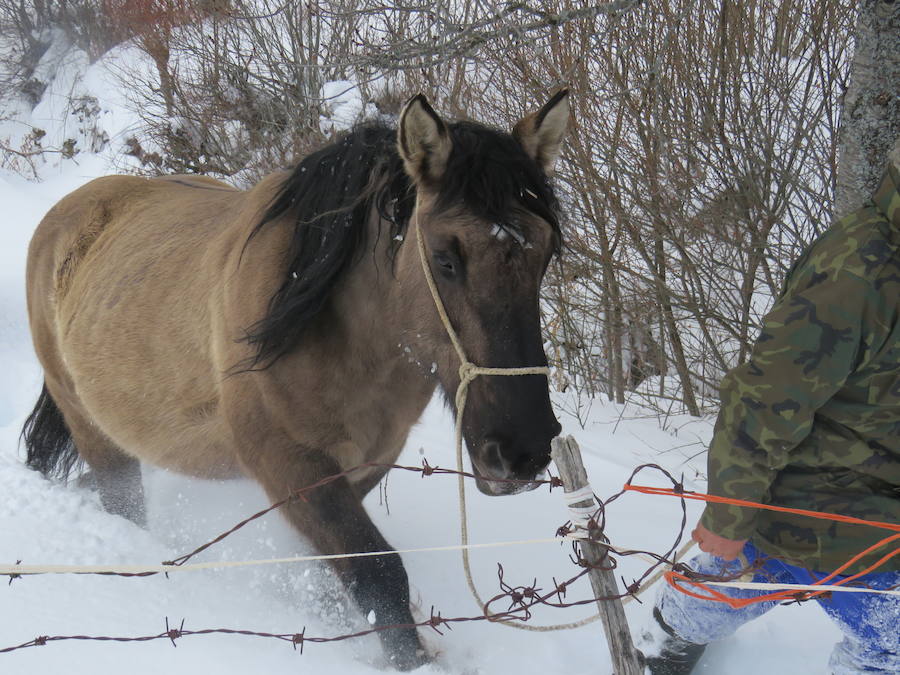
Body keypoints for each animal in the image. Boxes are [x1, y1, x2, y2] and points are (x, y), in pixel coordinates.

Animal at [21, 91, 568, 672]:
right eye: (446, 259)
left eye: (545, 255)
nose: (523, 450)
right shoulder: (290, 464)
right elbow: (379, 574)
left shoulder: (364, 464)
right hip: (91, 426)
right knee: (122, 501)